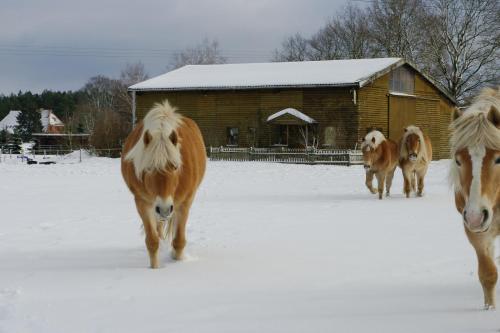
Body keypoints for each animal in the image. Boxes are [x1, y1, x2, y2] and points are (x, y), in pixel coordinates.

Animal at [122, 100, 206, 268]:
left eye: (174, 166)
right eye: (148, 168)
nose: (165, 209)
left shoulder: (184, 203)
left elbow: (179, 241)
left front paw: (177, 259)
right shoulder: (142, 203)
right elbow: (152, 241)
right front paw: (155, 269)